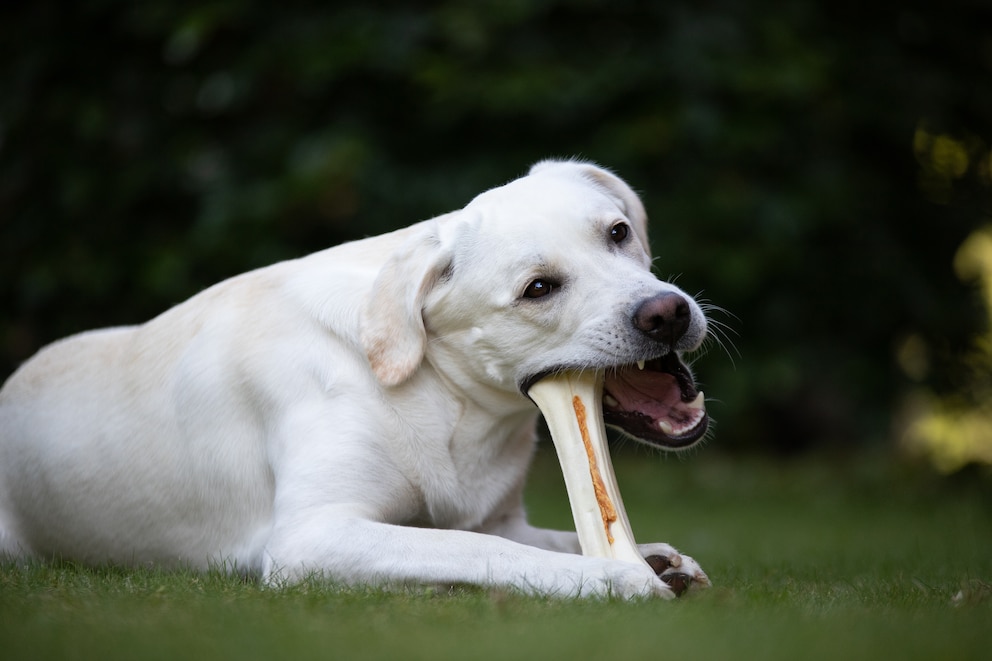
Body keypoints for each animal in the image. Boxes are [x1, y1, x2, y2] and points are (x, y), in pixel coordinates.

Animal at [1, 160, 712, 600]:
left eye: (618, 232)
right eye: (538, 288)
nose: (667, 313)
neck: (449, 399)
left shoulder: (500, 519)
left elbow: (520, 538)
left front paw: (652, 556)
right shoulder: (312, 538)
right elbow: (479, 551)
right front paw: (614, 578)